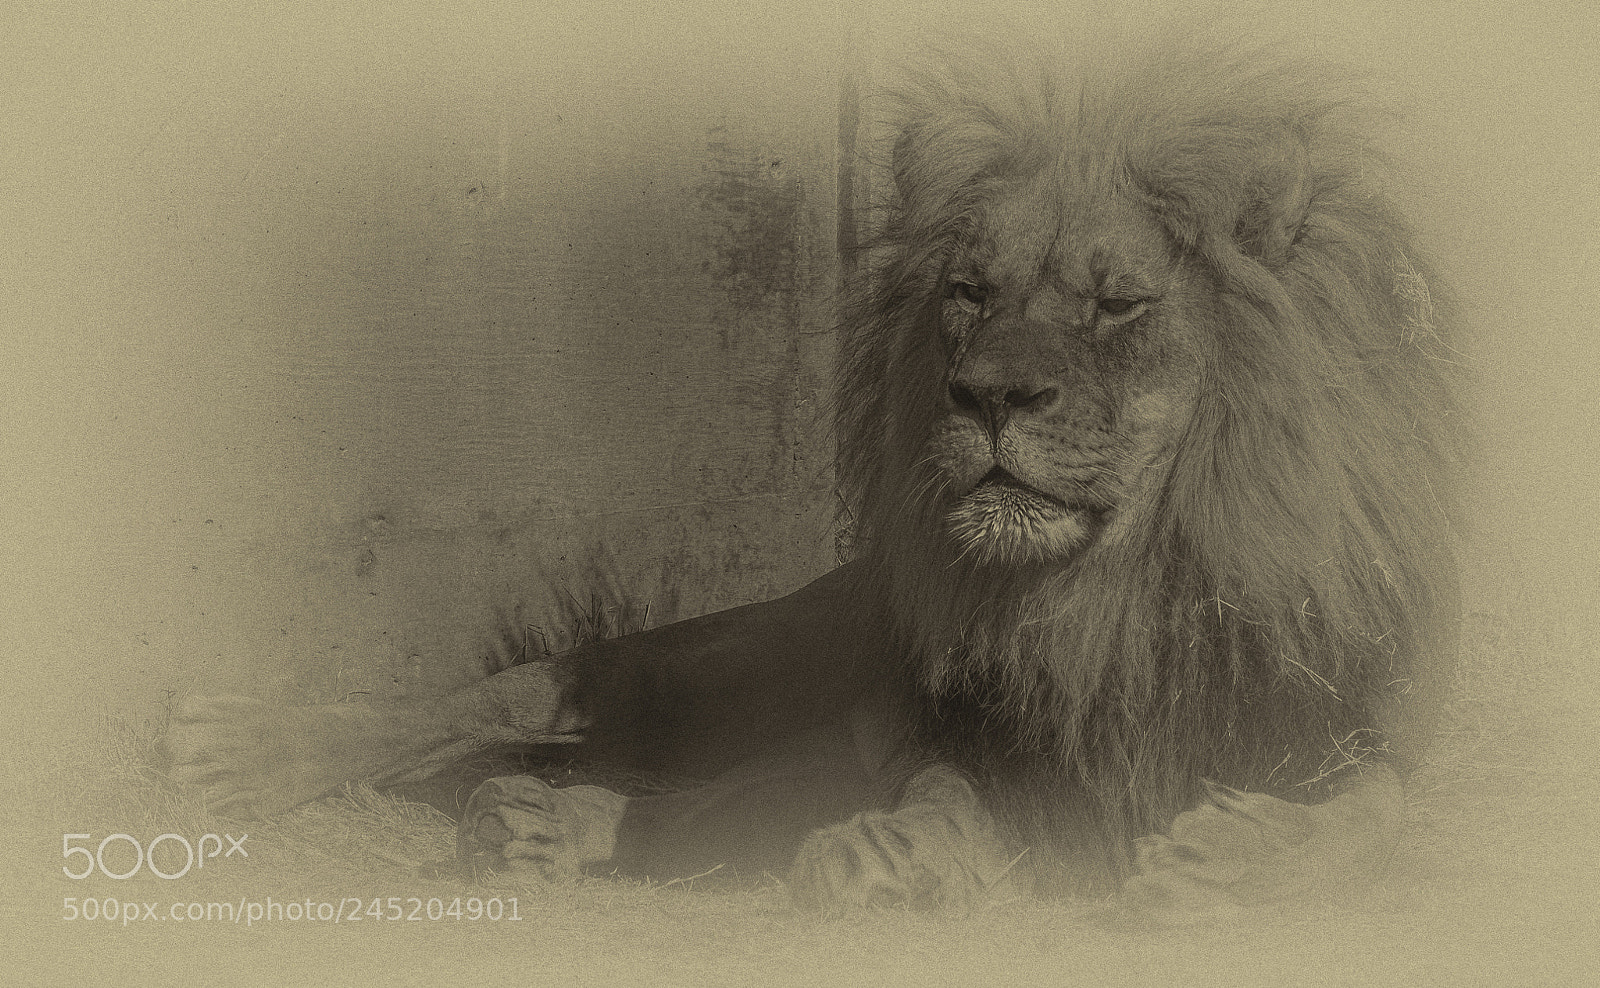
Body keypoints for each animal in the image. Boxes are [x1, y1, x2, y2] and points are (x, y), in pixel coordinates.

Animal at [166, 39, 1461, 915]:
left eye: (1115, 304)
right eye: (970, 292)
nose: (988, 394)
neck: (1118, 590)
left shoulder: (1365, 720)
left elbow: (1380, 816)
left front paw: (1225, 863)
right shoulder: (971, 725)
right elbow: (947, 789)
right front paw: (897, 857)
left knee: (688, 800)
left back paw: (537, 826)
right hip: (728, 663)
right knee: (505, 697)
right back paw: (239, 756)